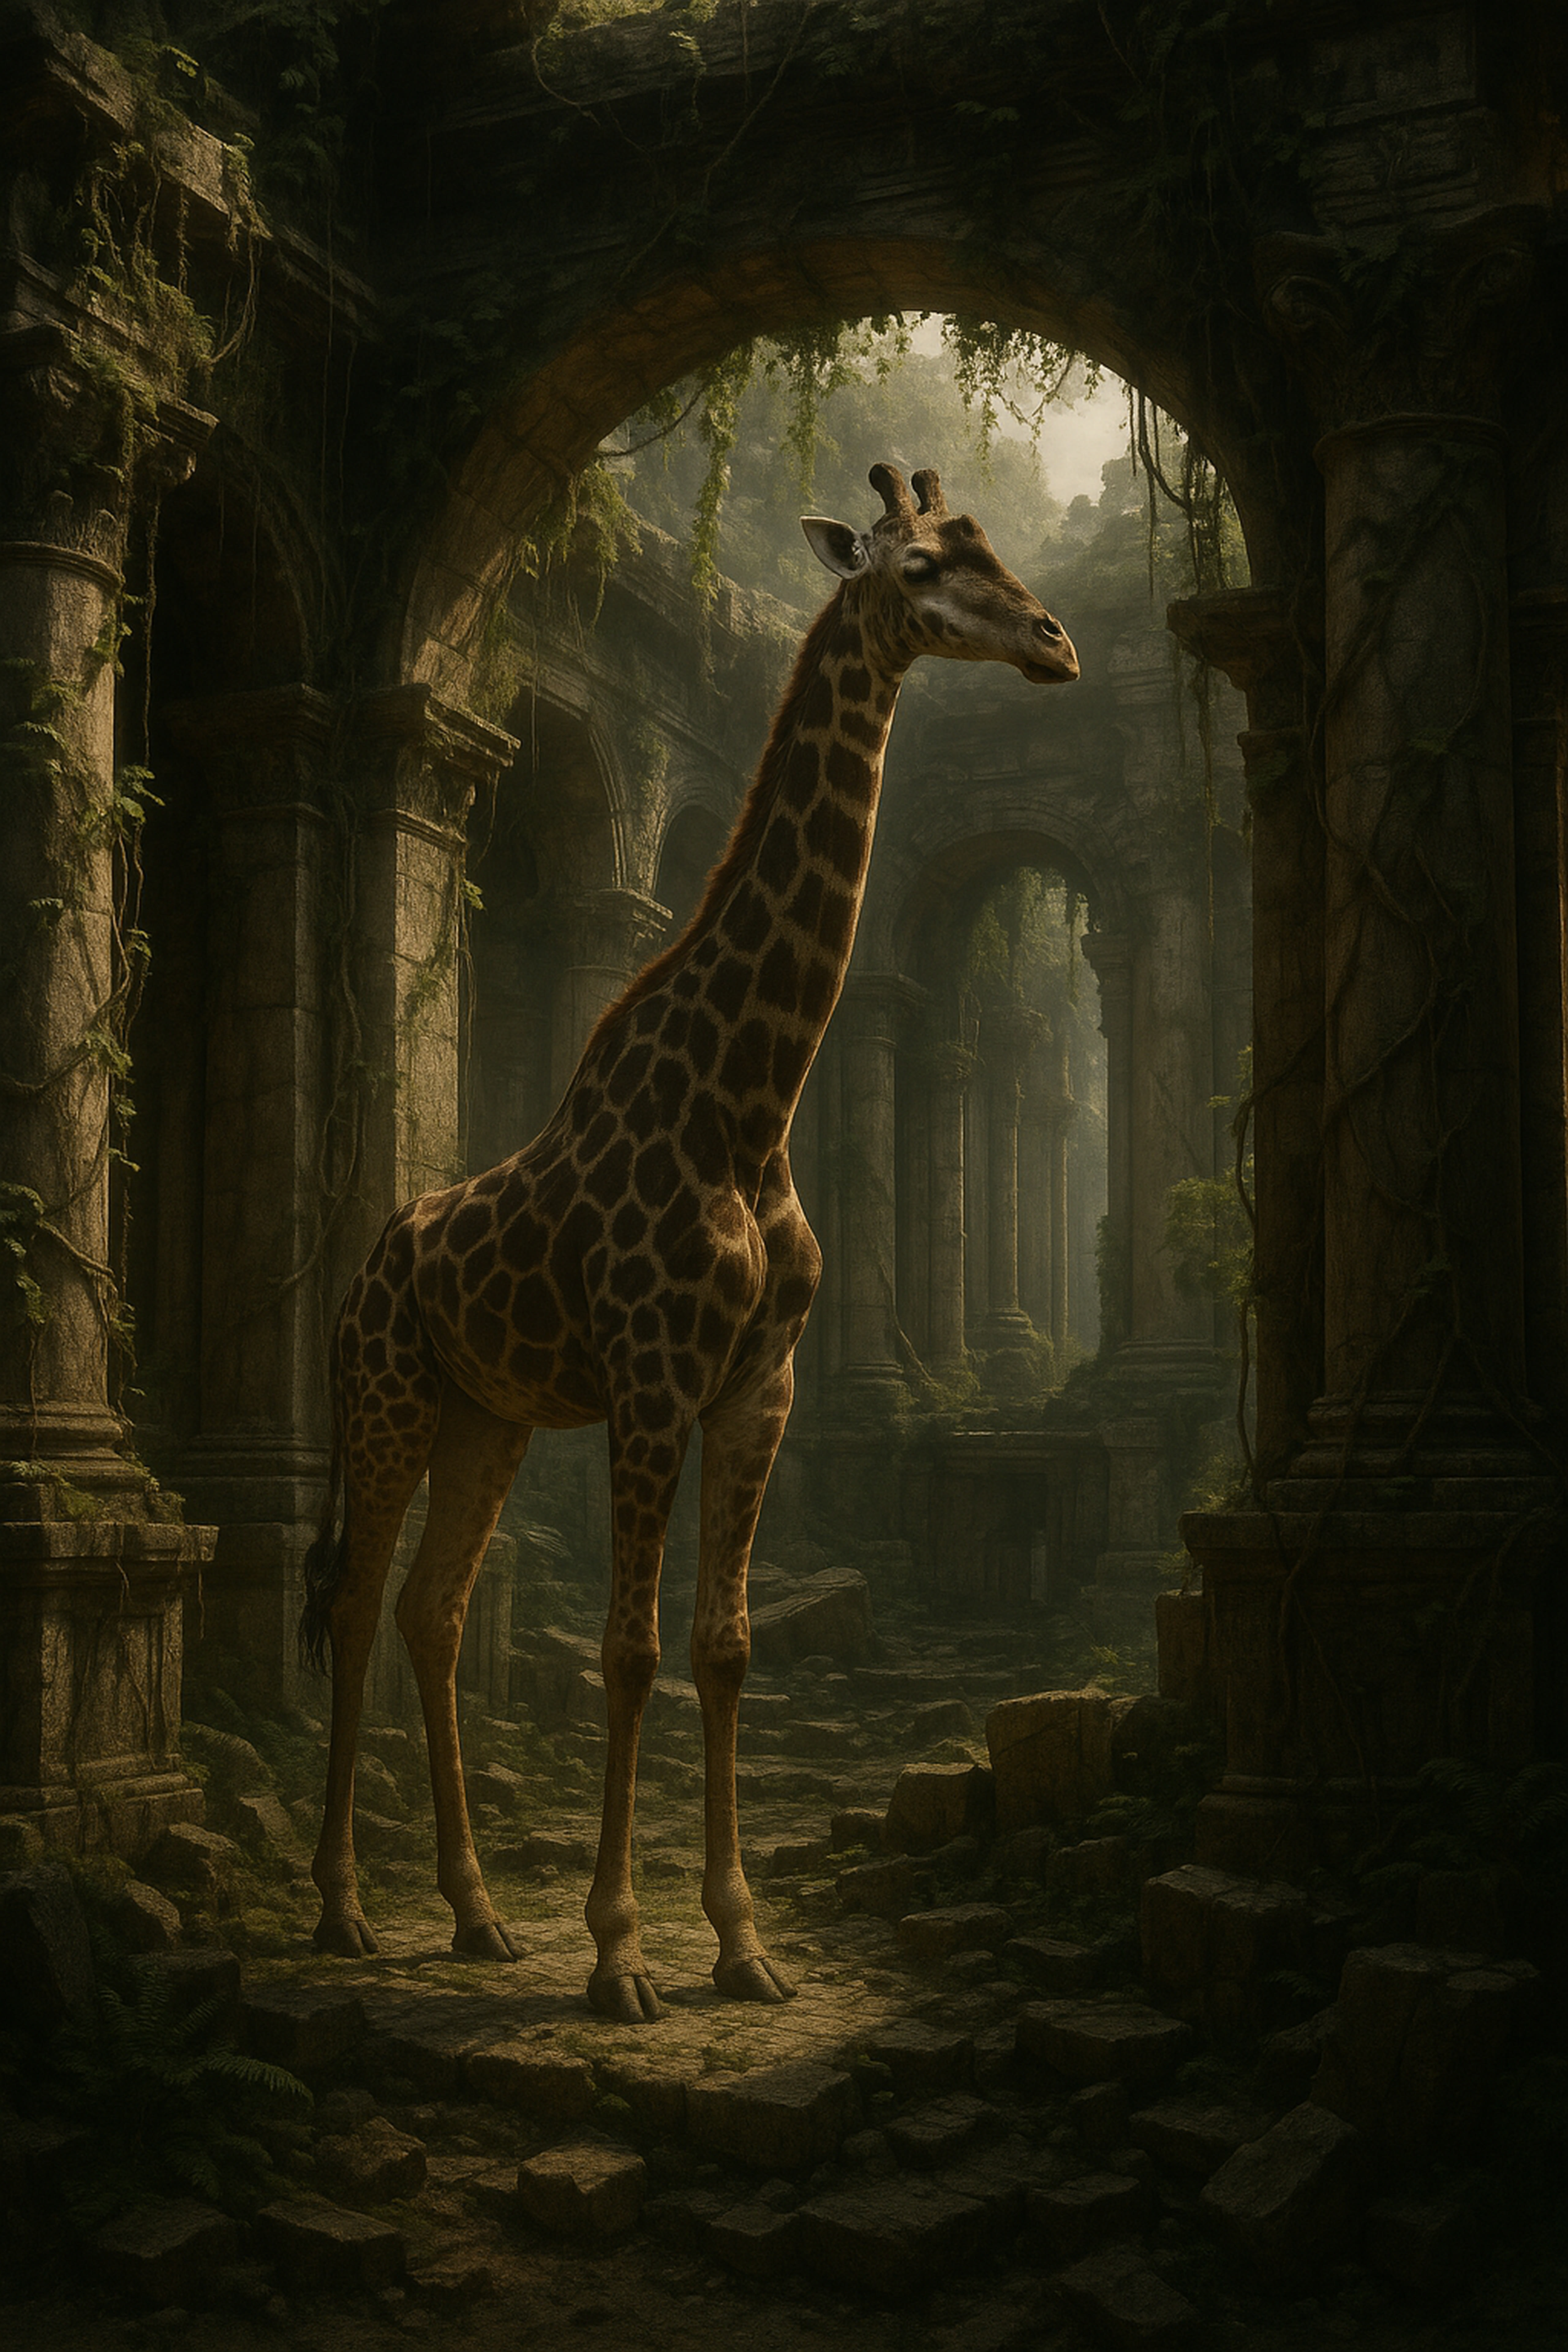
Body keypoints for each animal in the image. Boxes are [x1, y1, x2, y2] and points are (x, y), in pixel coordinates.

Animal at [300, 463, 1078, 2021]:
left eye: (982, 545)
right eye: (917, 565)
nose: (1053, 641)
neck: (746, 1100)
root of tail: (366, 1266)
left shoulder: (754, 1385)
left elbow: (720, 1648)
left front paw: (738, 1942)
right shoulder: (653, 1379)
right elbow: (629, 1647)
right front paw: (618, 1956)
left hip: (487, 1418)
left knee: (429, 1606)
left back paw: (474, 1913)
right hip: (388, 1398)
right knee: (355, 1604)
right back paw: (346, 1911)